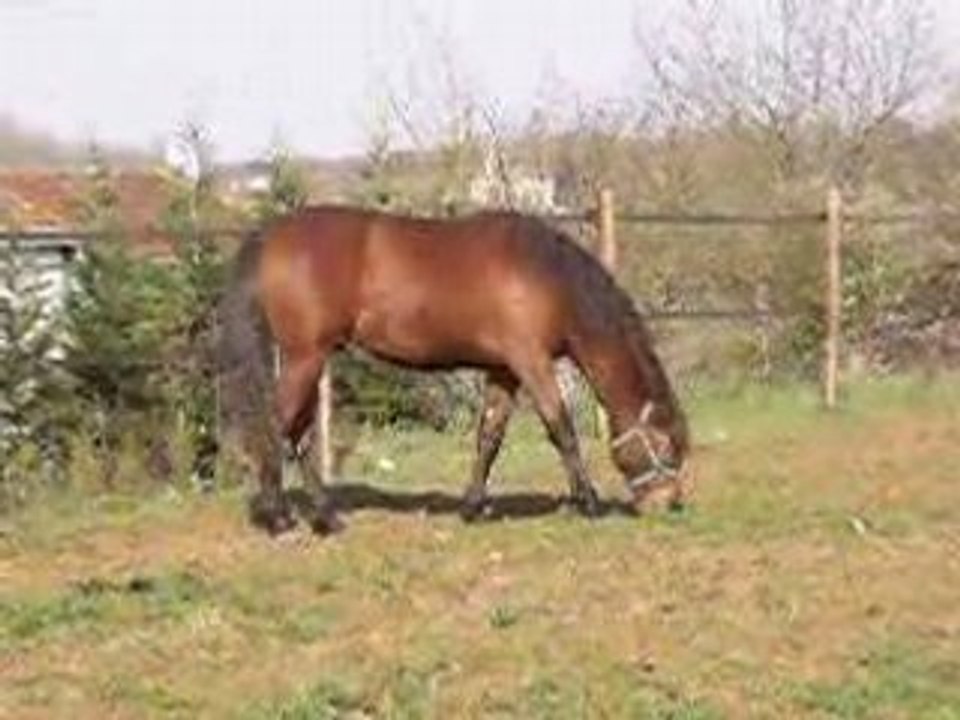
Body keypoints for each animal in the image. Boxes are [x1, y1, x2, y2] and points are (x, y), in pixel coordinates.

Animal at [217, 205, 690, 535]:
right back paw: (279, 518)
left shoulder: (503, 371)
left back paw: (325, 519)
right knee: (275, 428)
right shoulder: (530, 361)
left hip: (308, 360)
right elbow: (562, 429)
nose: (669, 504)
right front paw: (588, 502)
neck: (544, 277)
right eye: (667, 449)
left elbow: (489, 436)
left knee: (296, 434)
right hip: (305, 357)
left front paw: (473, 506)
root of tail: (272, 235)